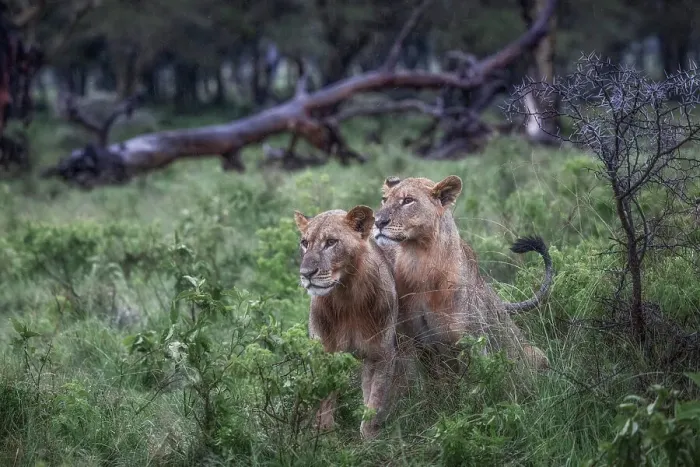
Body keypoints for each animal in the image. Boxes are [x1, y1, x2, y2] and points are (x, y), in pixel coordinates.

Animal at [294, 205, 398, 439]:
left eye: (331, 242)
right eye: (305, 243)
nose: (306, 274)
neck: (347, 296)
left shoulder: (380, 354)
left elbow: (374, 400)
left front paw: (369, 438)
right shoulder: (324, 353)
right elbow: (325, 397)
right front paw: (324, 434)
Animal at [372, 175, 553, 371]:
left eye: (408, 200)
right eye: (384, 200)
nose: (378, 222)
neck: (418, 259)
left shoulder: (473, 343)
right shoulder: (416, 344)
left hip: (536, 353)